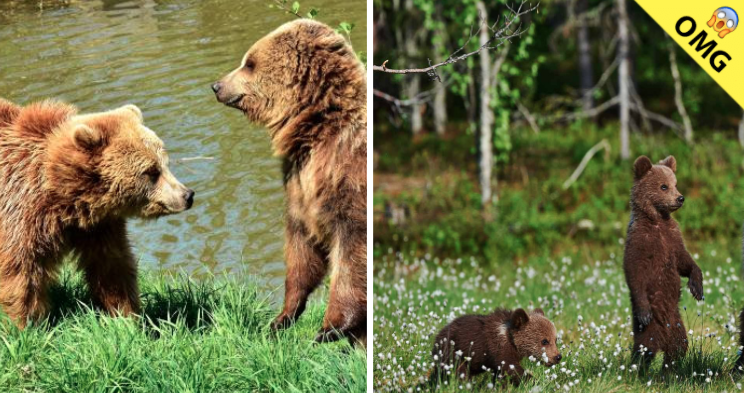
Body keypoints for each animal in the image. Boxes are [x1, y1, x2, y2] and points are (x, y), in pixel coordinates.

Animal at [0, 99, 195, 328]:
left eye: (166, 164)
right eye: (151, 172)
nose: (187, 195)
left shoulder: (98, 226)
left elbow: (111, 266)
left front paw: (126, 317)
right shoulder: (21, 212)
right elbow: (22, 273)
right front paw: (27, 325)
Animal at [212, 19, 366, 344]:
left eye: (249, 63)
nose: (217, 85)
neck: (316, 129)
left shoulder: (347, 175)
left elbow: (352, 252)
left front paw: (328, 328)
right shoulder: (300, 182)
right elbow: (302, 249)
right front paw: (282, 317)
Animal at [428, 308, 560, 384]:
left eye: (555, 339)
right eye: (544, 341)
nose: (558, 356)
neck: (510, 340)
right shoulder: (498, 349)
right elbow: (511, 368)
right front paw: (534, 381)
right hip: (452, 351)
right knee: (458, 371)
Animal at [620, 155, 704, 366]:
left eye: (676, 184)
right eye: (663, 186)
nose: (680, 198)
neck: (657, 220)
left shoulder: (672, 238)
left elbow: (684, 261)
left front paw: (697, 287)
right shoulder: (641, 241)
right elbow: (635, 271)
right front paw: (644, 311)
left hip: (677, 323)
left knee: (678, 347)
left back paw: (668, 369)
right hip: (650, 326)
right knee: (644, 349)